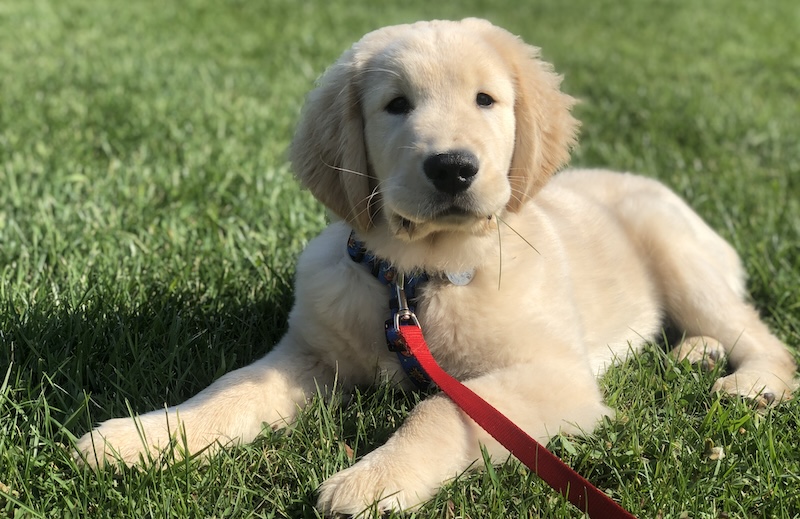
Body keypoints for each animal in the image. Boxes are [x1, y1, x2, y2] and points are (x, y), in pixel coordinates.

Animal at [75, 18, 792, 516]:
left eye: (485, 100)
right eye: (396, 105)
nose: (452, 168)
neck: (416, 277)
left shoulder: (556, 377)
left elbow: (443, 411)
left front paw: (371, 482)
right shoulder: (311, 353)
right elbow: (231, 389)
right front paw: (141, 438)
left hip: (675, 249)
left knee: (762, 336)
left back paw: (749, 381)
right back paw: (695, 352)